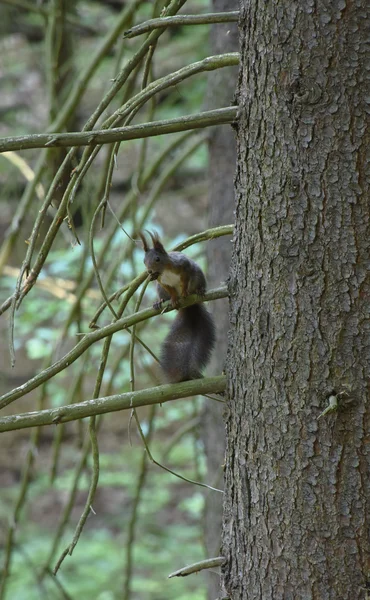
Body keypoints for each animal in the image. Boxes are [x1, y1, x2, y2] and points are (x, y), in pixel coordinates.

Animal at [139, 232, 215, 382]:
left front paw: (184, 292)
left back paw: (198, 291)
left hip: (198, 275)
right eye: (144, 261)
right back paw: (160, 302)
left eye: (157, 259)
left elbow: (184, 281)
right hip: (159, 289)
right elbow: (171, 290)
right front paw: (173, 299)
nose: (150, 272)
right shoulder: (161, 282)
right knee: (164, 295)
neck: (165, 271)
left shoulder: (184, 267)